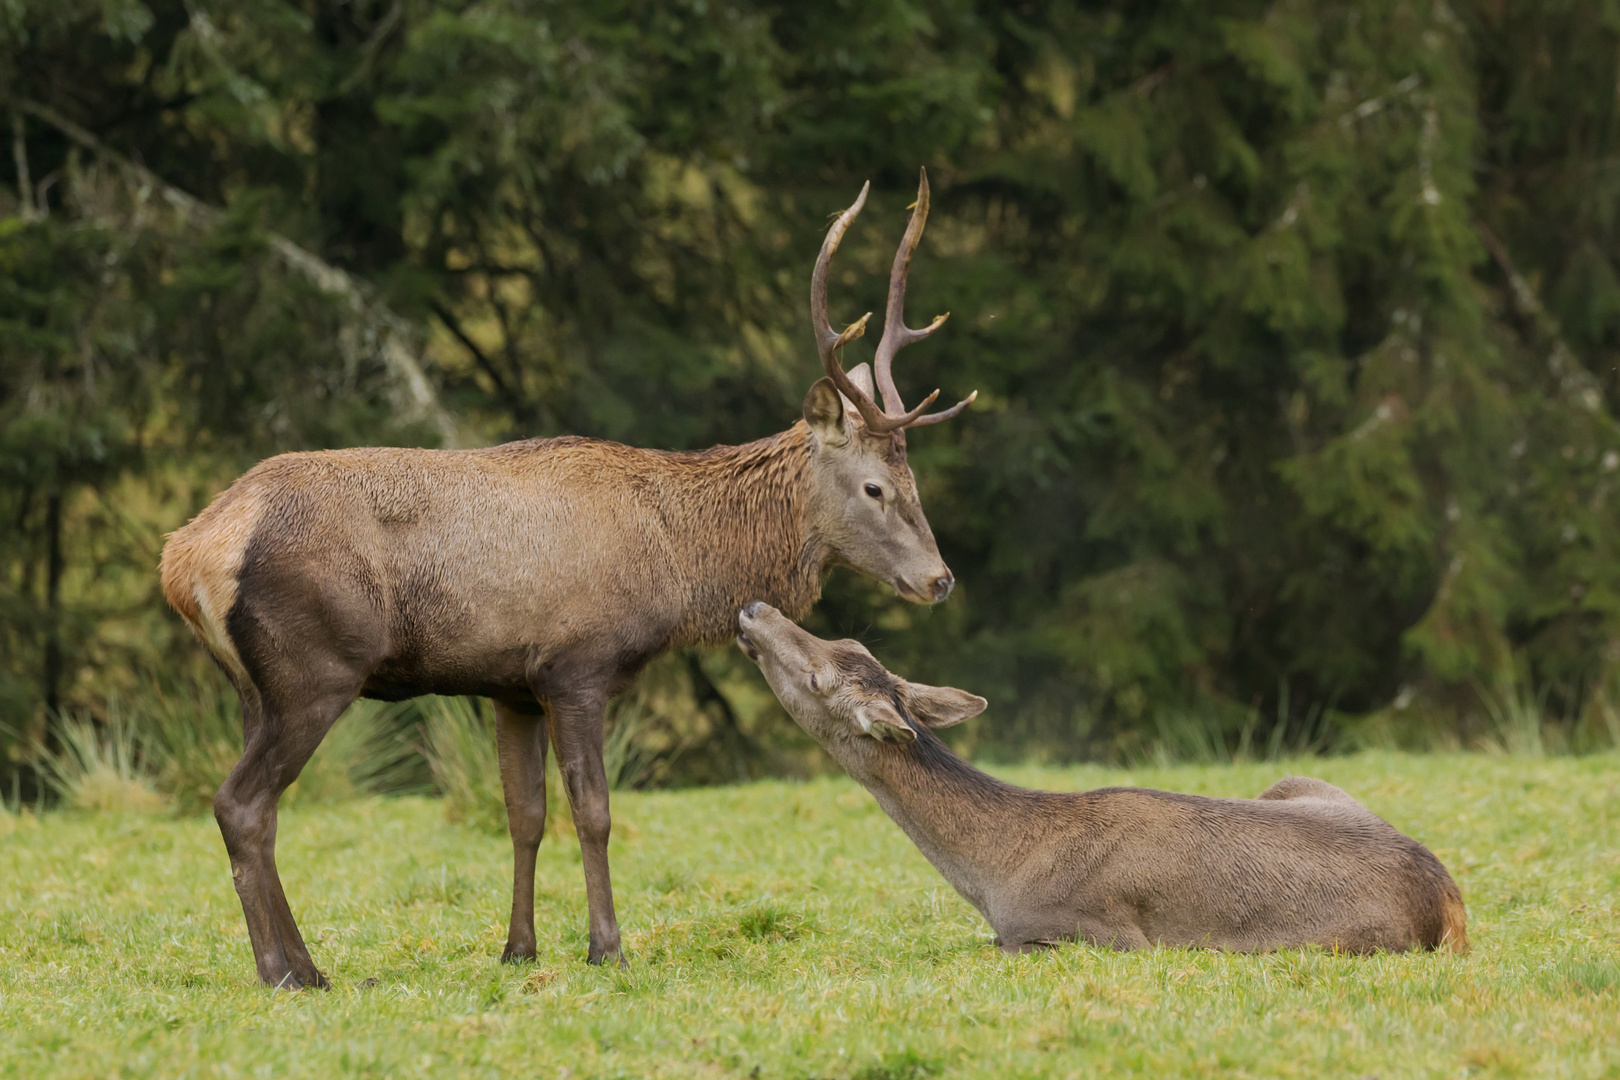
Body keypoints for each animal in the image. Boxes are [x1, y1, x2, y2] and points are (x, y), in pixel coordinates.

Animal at [161, 169, 972, 990]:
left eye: (915, 482)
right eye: (876, 487)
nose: (939, 580)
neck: (675, 565)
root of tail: (186, 555)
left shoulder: (510, 686)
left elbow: (525, 815)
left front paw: (519, 946)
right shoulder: (577, 664)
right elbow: (595, 810)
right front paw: (607, 945)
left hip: (252, 687)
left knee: (263, 811)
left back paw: (308, 965)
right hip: (313, 669)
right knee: (240, 804)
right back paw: (280, 971)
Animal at [735, 605, 1470, 958]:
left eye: (819, 677)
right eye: (848, 645)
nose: (753, 608)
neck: (994, 877)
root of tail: (1450, 901)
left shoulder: (1098, 935)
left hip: (1353, 940)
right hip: (1298, 779)